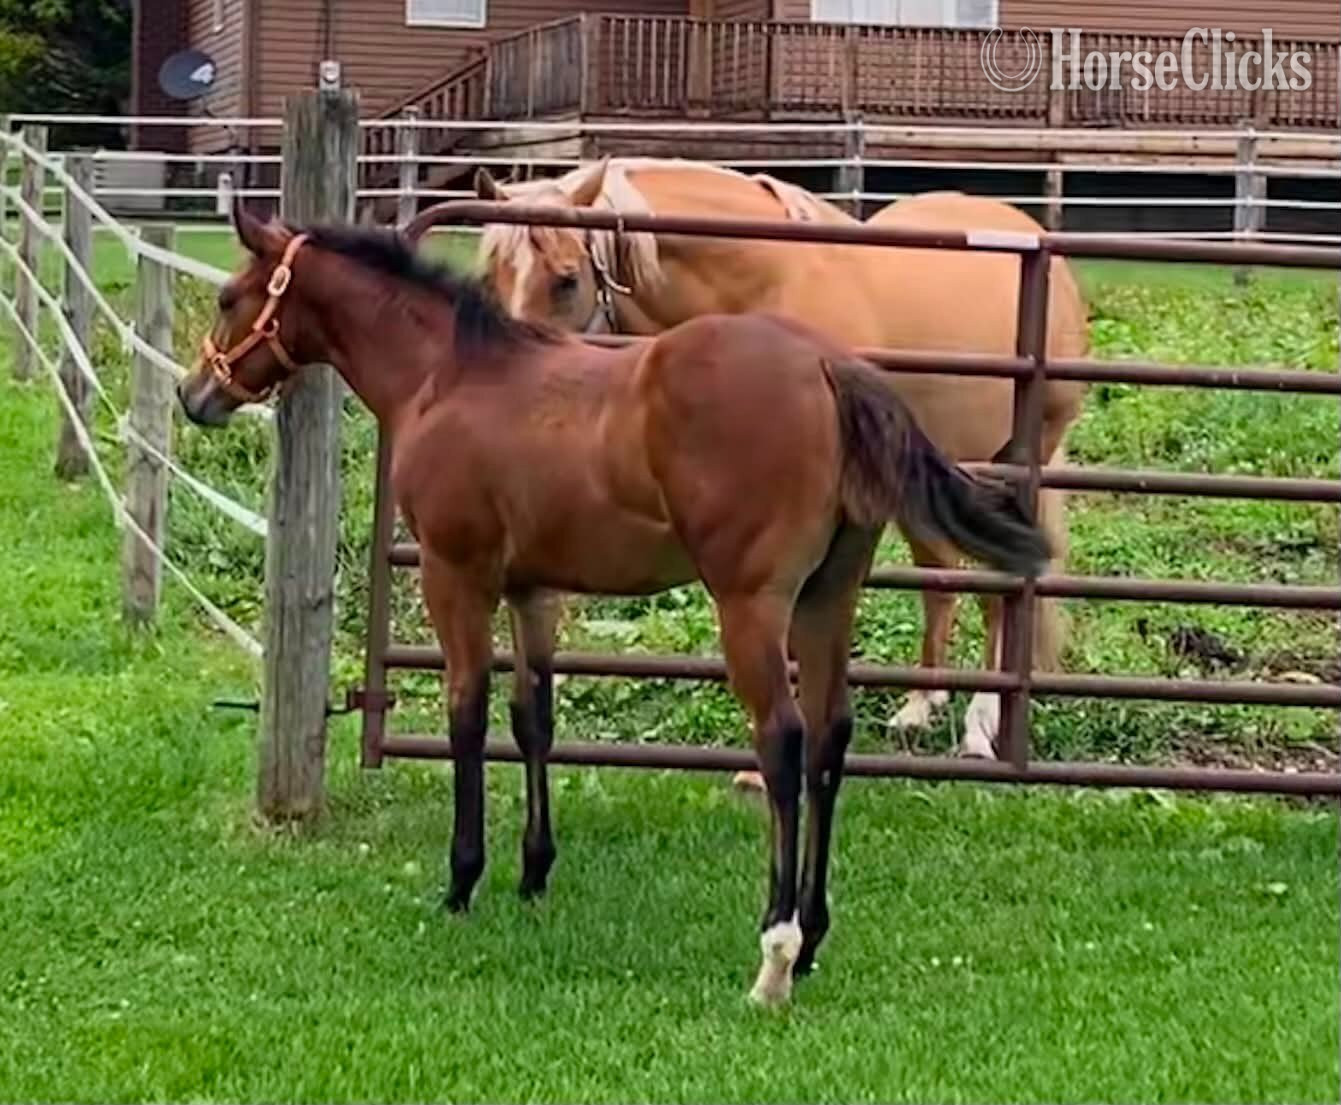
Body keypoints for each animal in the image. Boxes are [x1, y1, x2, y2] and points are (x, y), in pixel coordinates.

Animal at [178, 201, 1051, 1006]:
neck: (449, 377)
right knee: (830, 738)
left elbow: (467, 714)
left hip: (752, 604)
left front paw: (462, 879)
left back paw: (774, 953)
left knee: (783, 741)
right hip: (827, 597)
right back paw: (810, 940)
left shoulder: (455, 575)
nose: (195, 394)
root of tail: (829, 370)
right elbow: (533, 718)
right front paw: (533, 872)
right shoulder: (533, 589)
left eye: (228, 296)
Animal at [453, 156, 1089, 769]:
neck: (766, 287)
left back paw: (982, 724)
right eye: (489, 278)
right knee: (941, 580)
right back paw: (921, 705)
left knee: (1002, 591)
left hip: (1013, 462)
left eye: (567, 279)